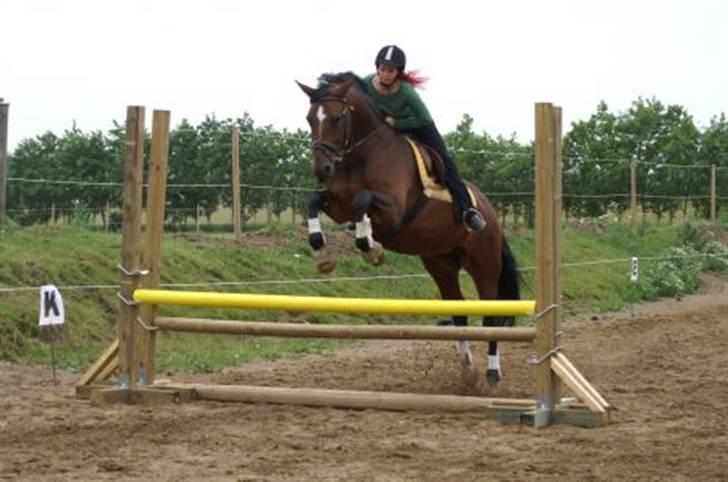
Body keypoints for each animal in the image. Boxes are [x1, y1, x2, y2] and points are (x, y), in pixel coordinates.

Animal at [292, 72, 520, 388]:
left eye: (337, 118)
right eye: (310, 118)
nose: (322, 170)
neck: (362, 154)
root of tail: (491, 212)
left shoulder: (394, 212)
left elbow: (363, 200)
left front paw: (371, 249)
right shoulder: (338, 207)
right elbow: (313, 199)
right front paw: (322, 253)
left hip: (484, 264)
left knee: (491, 315)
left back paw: (492, 373)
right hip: (441, 264)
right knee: (459, 311)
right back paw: (467, 370)